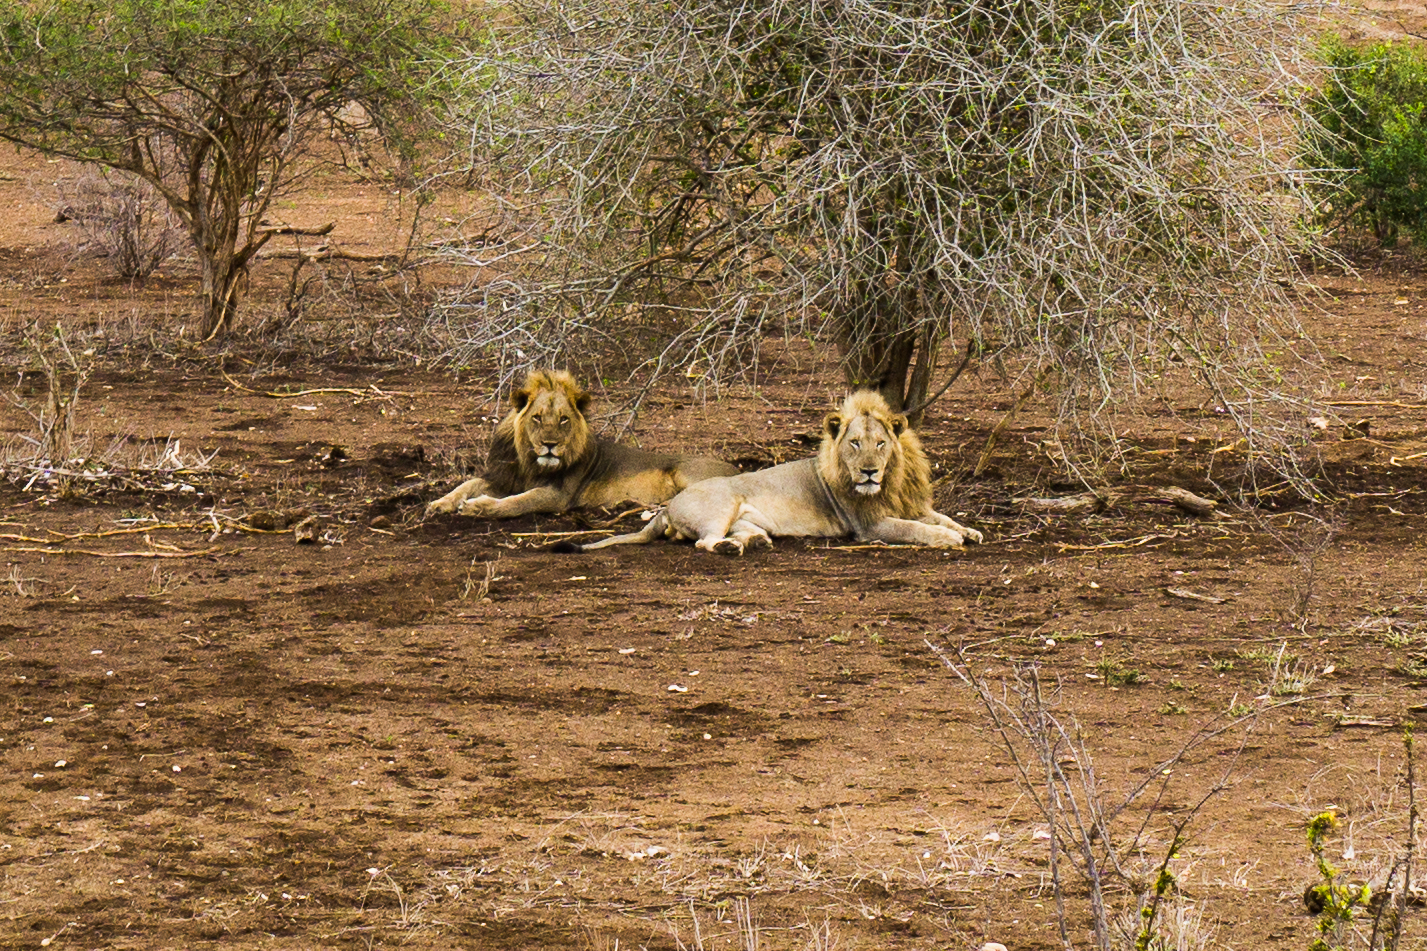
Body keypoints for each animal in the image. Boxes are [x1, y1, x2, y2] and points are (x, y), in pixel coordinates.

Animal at [425, 371, 742, 519]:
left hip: (687, 473)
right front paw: (439, 504)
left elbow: (518, 502)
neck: (530, 464)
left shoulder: (559, 496)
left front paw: (478, 507)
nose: (549, 445)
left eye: (564, 419)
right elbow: (466, 484)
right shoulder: (504, 477)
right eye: (537, 418)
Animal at [565, 391, 981, 556]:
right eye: (854, 443)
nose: (868, 472)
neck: (890, 481)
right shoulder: (869, 525)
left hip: (744, 520)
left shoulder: (909, 504)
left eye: (880, 443)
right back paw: (731, 549)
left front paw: (968, 531)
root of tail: (667, 506)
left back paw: (753, 543)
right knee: (704, 542)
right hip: (721, 505)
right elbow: (916, 529)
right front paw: (949, 538)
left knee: (740, 535)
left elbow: (939, 516)